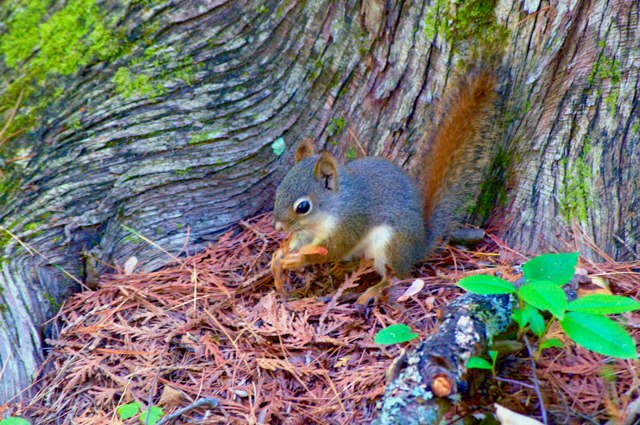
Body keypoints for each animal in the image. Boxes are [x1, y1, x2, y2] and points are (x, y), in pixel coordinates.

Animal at [271, 73, 496, 303]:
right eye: (278, 191)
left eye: (303, 207)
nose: (278, 227)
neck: (330, 208)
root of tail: (417, 247)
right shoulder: (308, 232)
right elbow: (299, 241)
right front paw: (279, 255)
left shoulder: (351, 222)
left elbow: (334, 248)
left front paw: (299, 260)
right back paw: (347, 268)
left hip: (390, 245)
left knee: (395, 276)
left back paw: (373, 291)